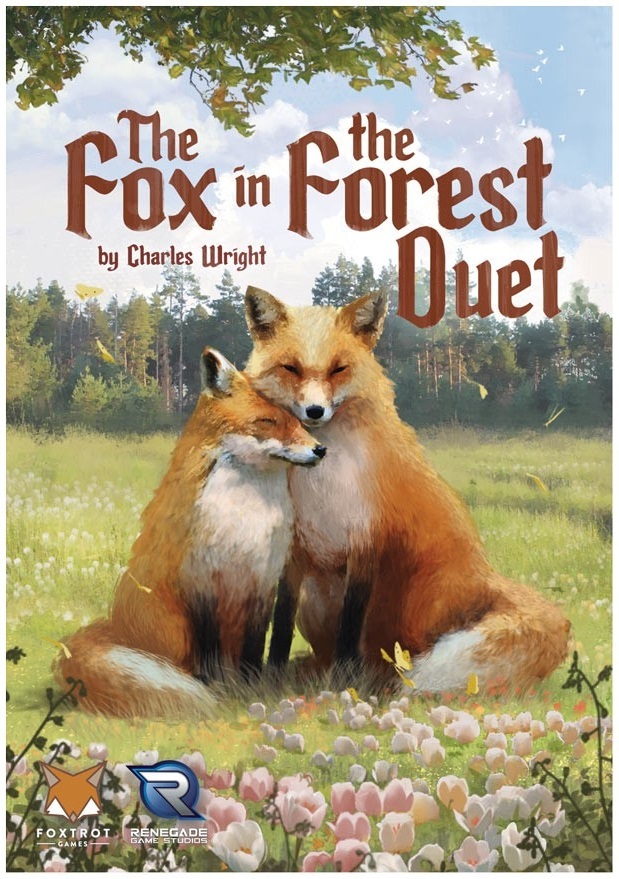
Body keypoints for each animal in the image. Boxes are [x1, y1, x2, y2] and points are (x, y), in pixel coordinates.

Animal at [54, 347, 326, 718]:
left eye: (300, 421)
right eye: (267, 422)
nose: (320, 449)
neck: (243, 518)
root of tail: (113, 626)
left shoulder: (262, 581)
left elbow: (254, 647)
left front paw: (253, 686)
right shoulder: (200, 579)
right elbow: (207, 649)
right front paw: (214, 687)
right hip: (175, 628)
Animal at [243, 286, 571, 693]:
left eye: (338, 369)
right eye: (291, 368)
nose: (315, 411)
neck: (321, 484)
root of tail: (487, 579)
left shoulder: (366, 542)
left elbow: (351, 625)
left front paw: (344, 681)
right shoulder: (294, 551)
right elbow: (281, 623)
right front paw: (269, 678)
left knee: (397, 655)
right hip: (316, 597)